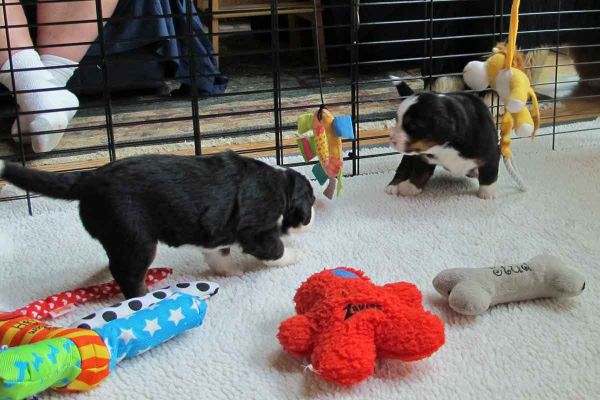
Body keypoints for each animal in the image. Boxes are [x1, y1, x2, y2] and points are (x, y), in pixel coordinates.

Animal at [0, 152, 316, 298]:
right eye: (311, 201)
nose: (311, 218)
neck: (281, 185)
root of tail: (86, 179)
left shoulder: (217, 232)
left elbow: (218, 253)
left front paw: (228, 271)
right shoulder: (257, 230)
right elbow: (274, 249)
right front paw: (294, 255)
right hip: (136, 239)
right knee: (128, 274)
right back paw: (143, 298)